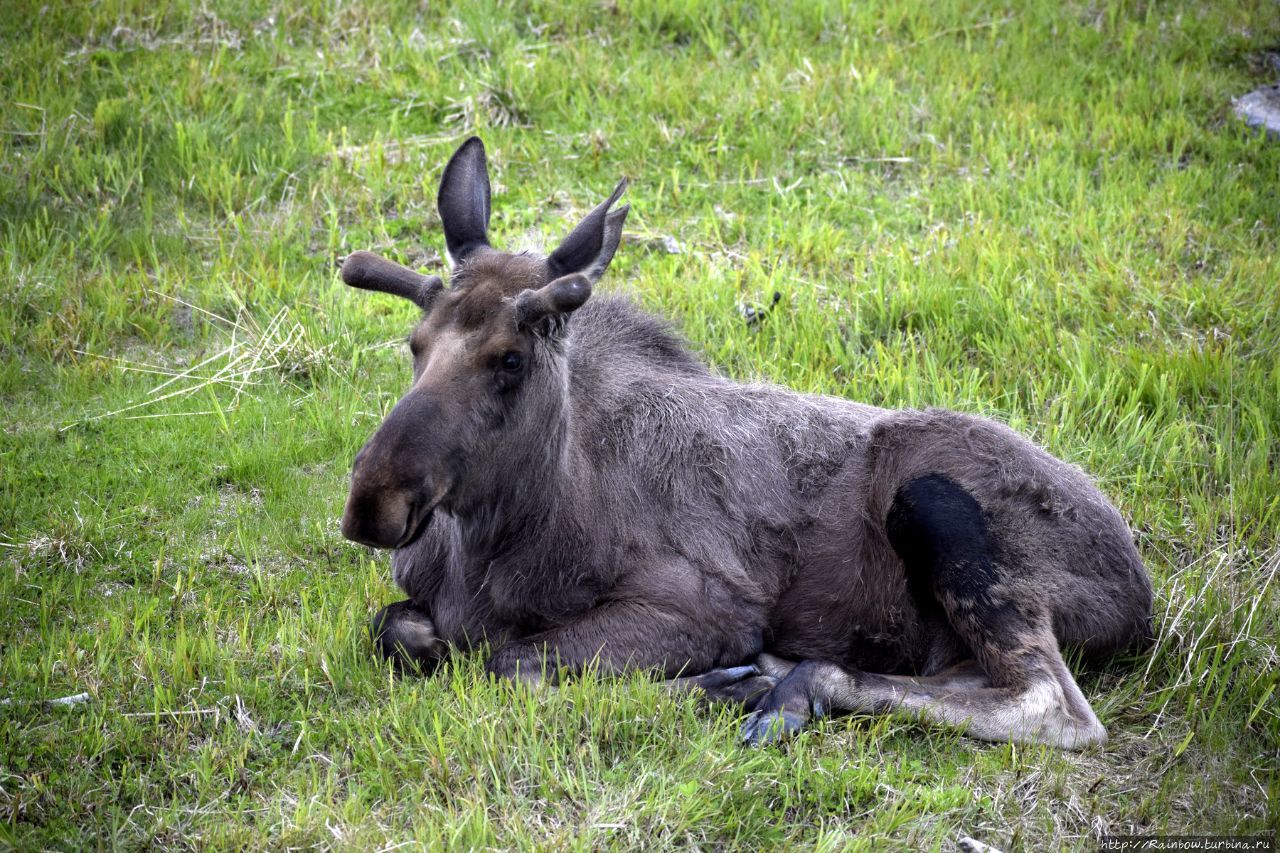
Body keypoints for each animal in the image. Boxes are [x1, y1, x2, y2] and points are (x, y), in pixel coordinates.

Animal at [337, 136, 1152, 747]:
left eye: (510, 358)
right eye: (416, 343)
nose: (374, 500)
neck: (495, 538)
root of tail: (1140, 600)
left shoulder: (706, 605)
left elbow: (511, 661)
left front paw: (716, 685)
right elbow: (398, 629)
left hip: (938, 506)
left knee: (1052, 705)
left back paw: (795, 685)